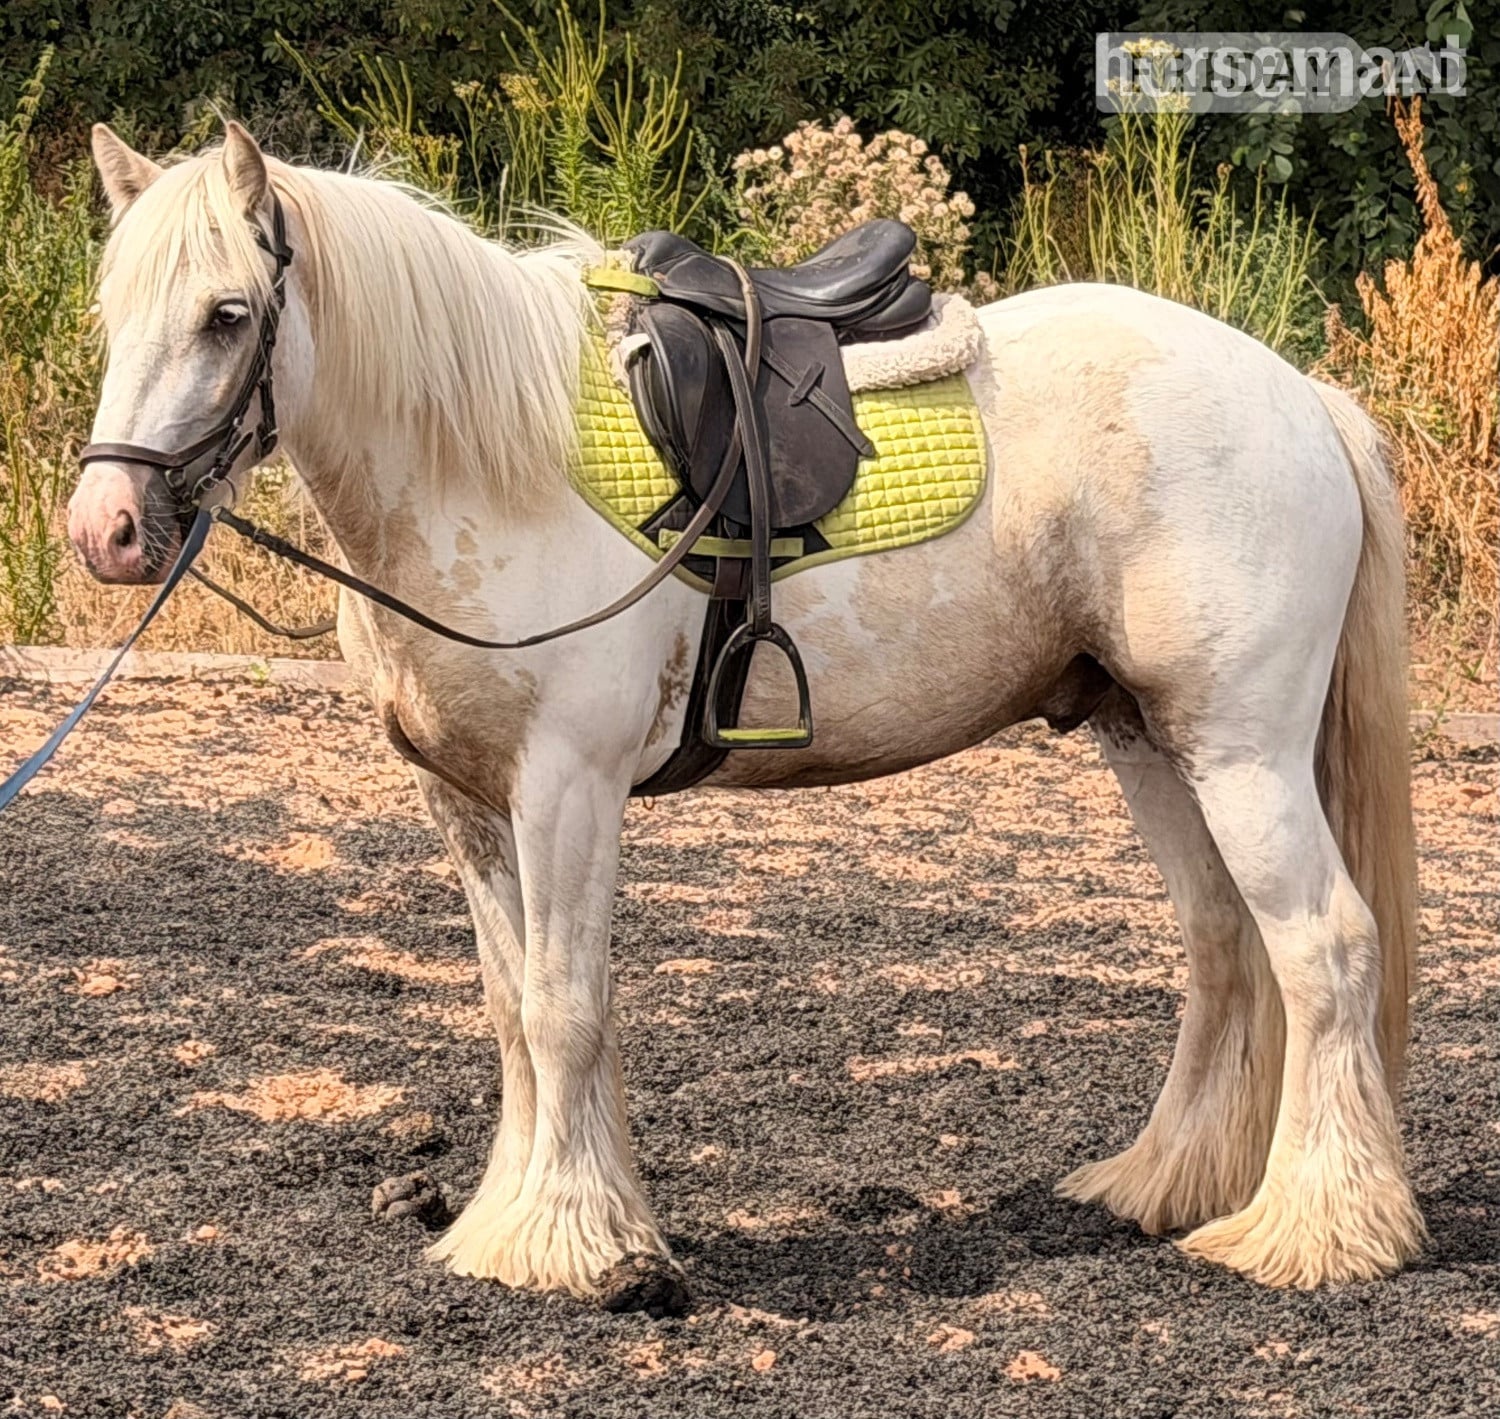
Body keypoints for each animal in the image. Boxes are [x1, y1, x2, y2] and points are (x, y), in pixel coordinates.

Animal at [67, 121, 1423, 1310]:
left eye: (227, 314)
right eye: (110, 312)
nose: (107, 531)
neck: (488, 466)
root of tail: (1298, 395)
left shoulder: (566, 788)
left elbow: (564, 1006)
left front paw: (571, 1251)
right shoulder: (466, 800)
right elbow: (513, 1011)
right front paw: (528, 1220)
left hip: (1241, 750)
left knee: (1325, 948)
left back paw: (1316, 1233)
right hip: (1152, 740)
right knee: (1226, 947)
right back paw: (1168, 1186)